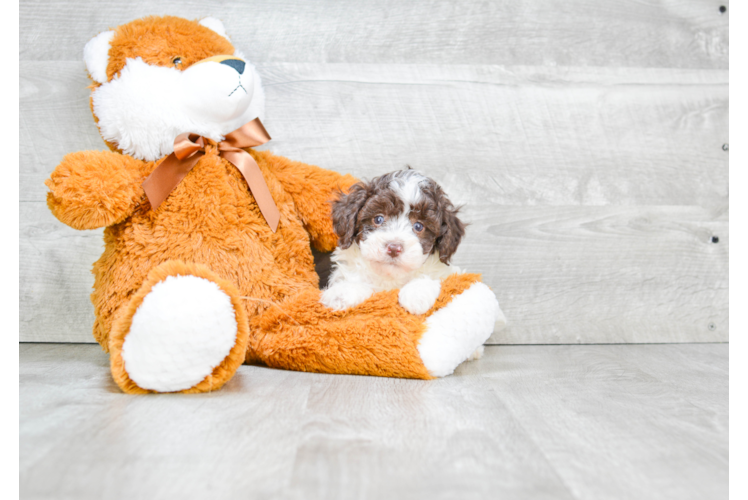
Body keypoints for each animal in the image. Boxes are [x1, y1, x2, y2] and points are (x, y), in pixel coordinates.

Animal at [322, 169, 464, 316]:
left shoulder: (446, 273)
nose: (394, 248)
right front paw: (341, 293)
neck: (390, 278)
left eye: (418, 226)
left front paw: (416, 294)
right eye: (378, 219)